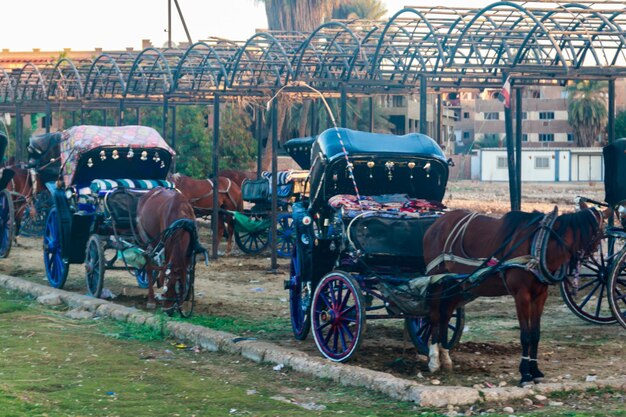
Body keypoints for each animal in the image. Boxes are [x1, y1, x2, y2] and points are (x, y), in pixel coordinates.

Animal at [422, 205, 604, 386]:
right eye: (601, 233)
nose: (594, 258)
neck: (540, 245)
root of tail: (437, 222)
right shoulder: (521, 295)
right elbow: (525, 336)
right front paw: (525, 374)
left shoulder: (540, 295)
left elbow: (535, 334)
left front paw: (535, 371)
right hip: (436, 280)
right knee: (434, 316)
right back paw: (434, 359)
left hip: (456, 283)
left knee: (446, 314)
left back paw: (445, 357)